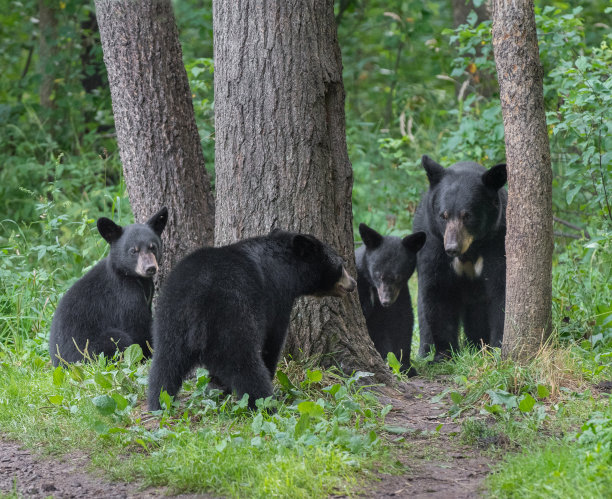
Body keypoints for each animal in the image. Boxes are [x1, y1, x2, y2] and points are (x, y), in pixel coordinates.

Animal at [48, 207, 167, 368]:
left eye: (152, 247)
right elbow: (137, 325)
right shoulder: (125, 296)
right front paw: (150, 355)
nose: (150, 268)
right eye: (133, 251)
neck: (132, 277)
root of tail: (61, 364)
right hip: (92, 349)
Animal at [148, 229, 356, 410]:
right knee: (245, 365)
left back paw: (159, 402)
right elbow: (273, 340)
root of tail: (196, 302)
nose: (353, 283)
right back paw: (265, 404)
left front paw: (216, 387)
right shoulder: (277, 297)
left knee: (164, 365)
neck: (285, 266)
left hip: (170, 321)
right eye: (341, 264)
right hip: (231, 318)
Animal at [354, 225, 426, 376]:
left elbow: (402, 322)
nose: (386, 301)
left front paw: (405, 366)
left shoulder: (401, 295)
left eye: (399, 277)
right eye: (378, 275)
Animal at [414, 154, 510, 362]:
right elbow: (438, 292)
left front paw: (498, 348)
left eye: (467, 215)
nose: (452, 248)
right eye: (443, 215)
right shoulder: (433, 244)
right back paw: (424, 352)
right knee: (422, 310)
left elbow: (501, 290)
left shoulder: (497, 241)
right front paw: (444, 354)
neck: (470, 250)